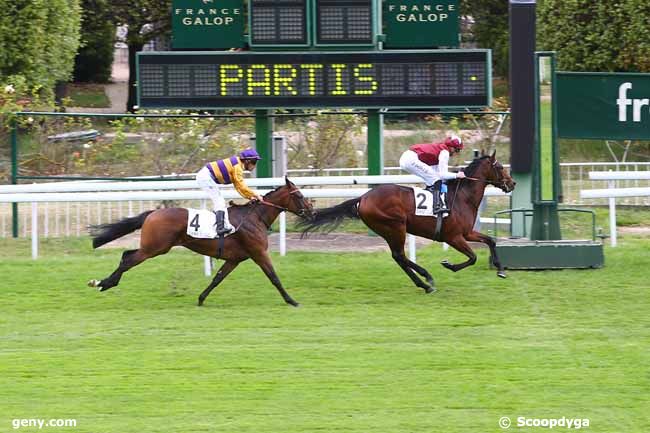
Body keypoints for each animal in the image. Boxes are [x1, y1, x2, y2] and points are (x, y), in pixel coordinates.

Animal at [88, 177, 312, 306]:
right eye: (300, 195)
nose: (311, 212)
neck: (255, 217)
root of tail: (152, 213)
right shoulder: (258, 253)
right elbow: (274, 277)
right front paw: (292, 300)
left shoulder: (235, 259)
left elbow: (217, 278)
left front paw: (201, 299)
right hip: (155, 248)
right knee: (128, 259)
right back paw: (104, 283)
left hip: (153, 247)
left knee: (126, 255)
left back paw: (104, 282)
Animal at [300, 153, 516, 294]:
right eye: (499, 167)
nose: (512, 183)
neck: (462, 197)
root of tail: (363, 198)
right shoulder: (453, 237)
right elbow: (472, 257)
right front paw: (449, 265)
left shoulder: (467, 233)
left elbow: (490, 241)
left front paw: (501, 270)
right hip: (395, 227)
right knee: (400, 256)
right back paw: (427, 280)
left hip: (389, 230)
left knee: (399, 257)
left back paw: (424, 283)